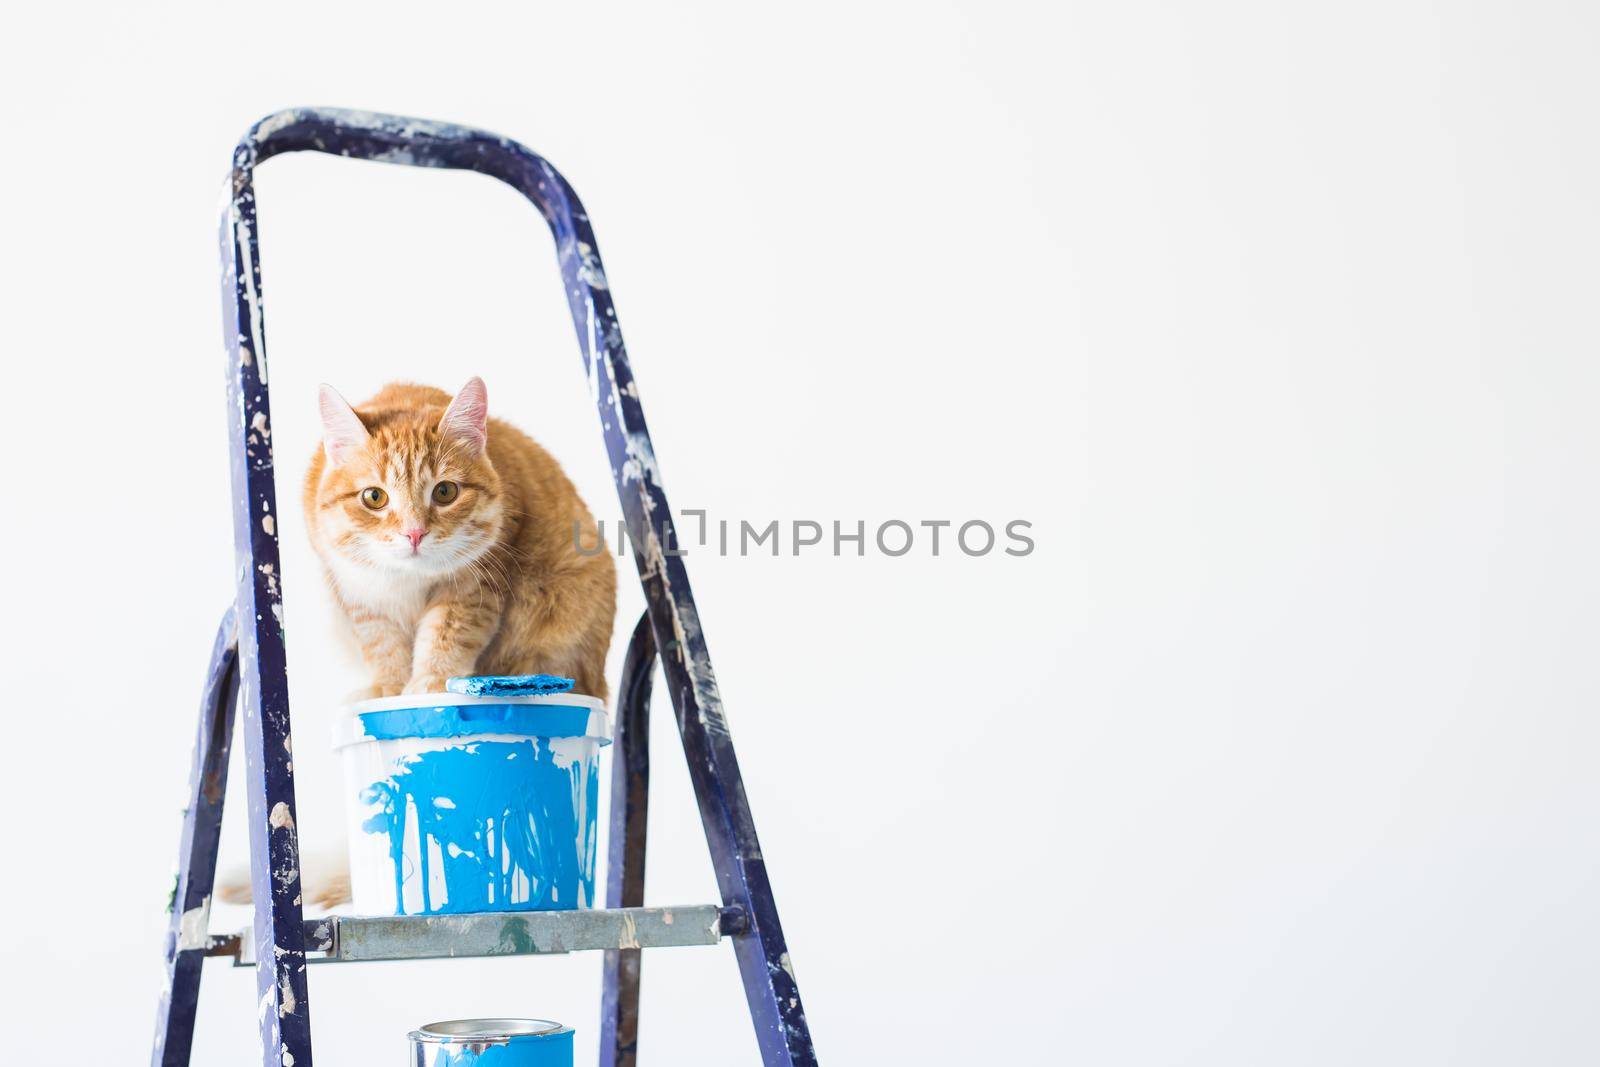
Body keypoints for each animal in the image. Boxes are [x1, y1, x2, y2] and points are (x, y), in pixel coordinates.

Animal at [308, 382, 614, 700]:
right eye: (374, 497)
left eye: (445, 492)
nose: (414, 533)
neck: (408, 579)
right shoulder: (358, 593)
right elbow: (382, 642)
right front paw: (389, 688)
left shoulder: (475, 585)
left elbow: (447, 633)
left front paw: (430, 681)